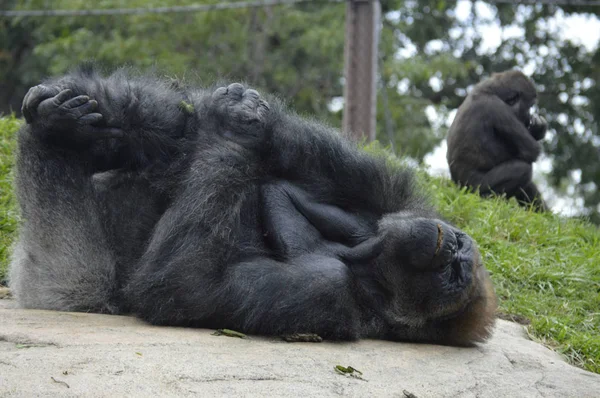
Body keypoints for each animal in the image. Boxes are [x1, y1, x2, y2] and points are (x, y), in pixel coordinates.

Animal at [9, 65, 496, 346]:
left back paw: (49, 141)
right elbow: (203, 132)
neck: (368, 261)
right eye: (460, 251)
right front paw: (239, 116)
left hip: (60, 282)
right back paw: (63, 121)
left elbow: (182, 285)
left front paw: (235, 124)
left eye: (452, 276)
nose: (449, 245)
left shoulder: (331, 294)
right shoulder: (386, 192)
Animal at [446, 69, 548, 211]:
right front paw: (539, 129)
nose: (528, 117)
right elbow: (531, 150)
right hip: (472, 187)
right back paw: (488, 199)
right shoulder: (497, 107)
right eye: (529, 106)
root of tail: (456, 184)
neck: (492, 92)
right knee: (523, 169)